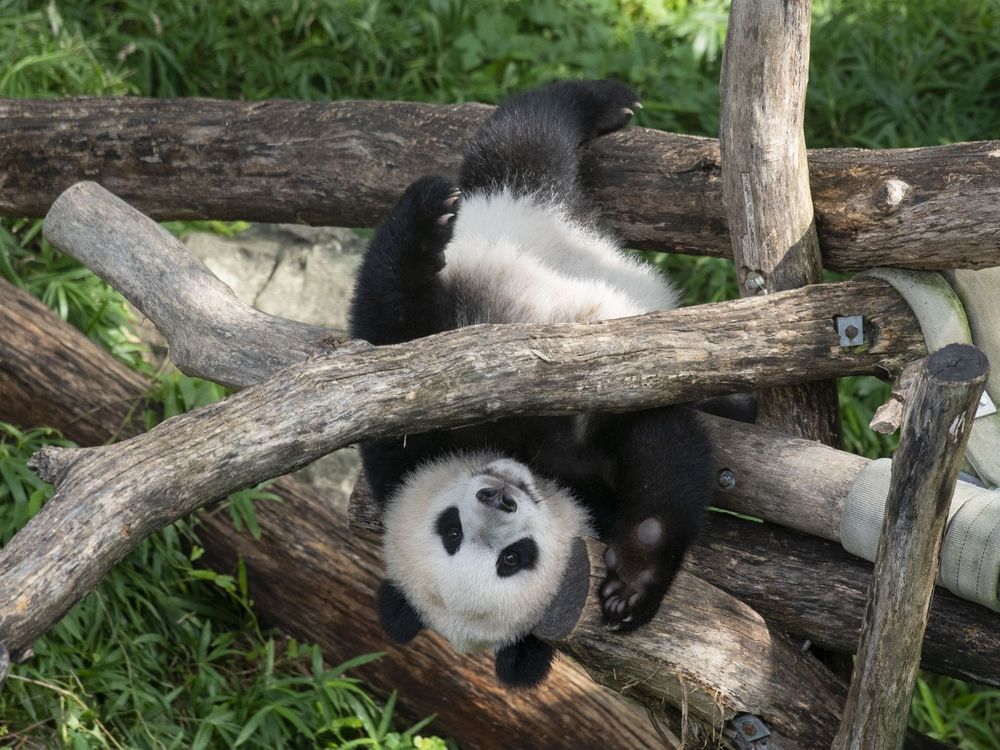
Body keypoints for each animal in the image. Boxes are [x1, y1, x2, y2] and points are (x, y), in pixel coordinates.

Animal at [350, 79, 720, 692]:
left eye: (513, 558)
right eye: (453, 534)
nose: (499, 495)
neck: (525, 458)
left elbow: (660, 443)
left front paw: (632, 586)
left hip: (518, 227)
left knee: (525, 135)